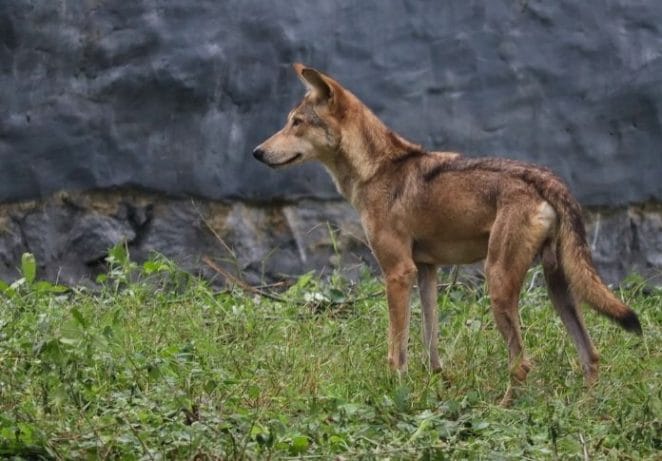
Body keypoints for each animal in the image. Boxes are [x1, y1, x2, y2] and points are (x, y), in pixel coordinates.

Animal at [253, 63, 644, 402]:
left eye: (296, 123)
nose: (257, 152)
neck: (378, 169)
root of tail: (546, 177)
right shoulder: (426, 271)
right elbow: (430, 341)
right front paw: (435, 384)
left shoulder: (398, 273)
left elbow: (396, 349)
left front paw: (397, 391)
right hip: (558, 287)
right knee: (590, 356)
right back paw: (585, 409)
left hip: (498, 284)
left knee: (522, 364)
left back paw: (502, 409)